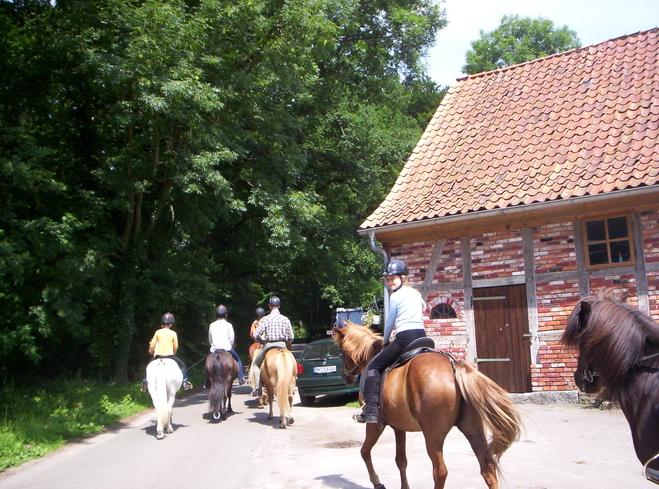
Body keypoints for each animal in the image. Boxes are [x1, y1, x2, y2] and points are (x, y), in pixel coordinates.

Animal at [336, 320, 520, 488]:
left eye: (341, 352)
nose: (345, 377)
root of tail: (455, 366)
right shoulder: (399, 426)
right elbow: (401, 460)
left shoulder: (375, 424)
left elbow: (364, 452)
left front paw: (377, 482)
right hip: (472, 428)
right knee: (487, 468)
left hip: (433, 434)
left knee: (440, 472)